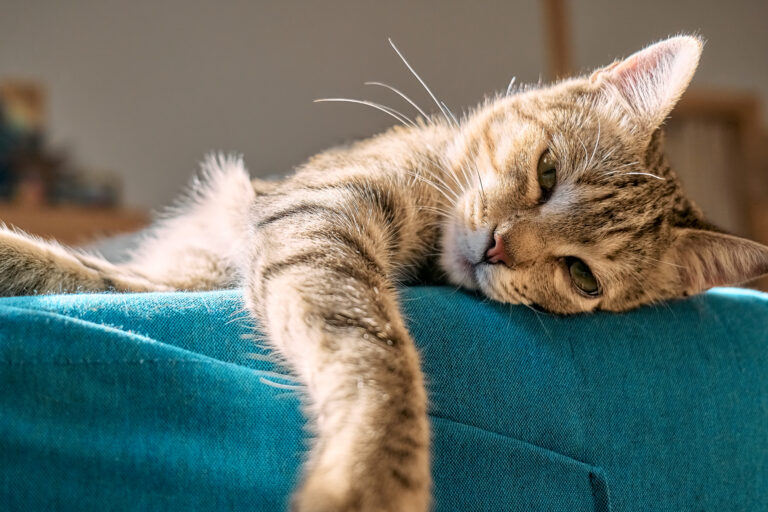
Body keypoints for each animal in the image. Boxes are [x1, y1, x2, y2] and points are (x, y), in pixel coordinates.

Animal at [1, 36, 768, 512]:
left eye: (582, 277)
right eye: (548, 172)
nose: (498, 248)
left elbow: (371, 356)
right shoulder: (312, 214)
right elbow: (372, 358)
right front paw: (368, 477)